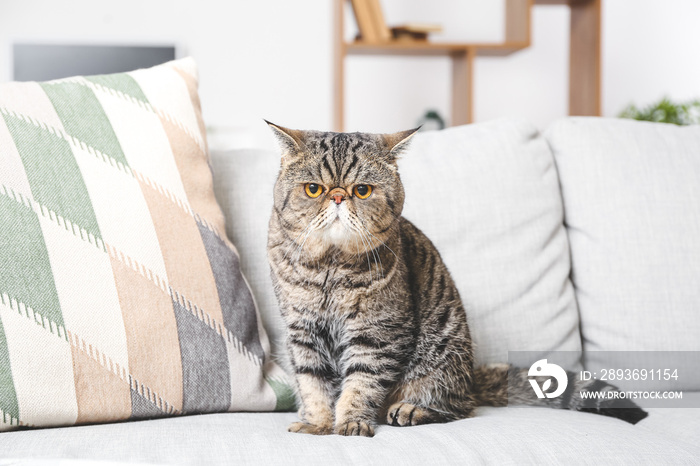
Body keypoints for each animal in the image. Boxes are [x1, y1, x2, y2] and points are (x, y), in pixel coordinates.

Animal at [266, 121, 648, 436]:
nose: (338, 196)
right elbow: (312, 383)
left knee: (459, 407)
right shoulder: (302, 331)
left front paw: (351, 422)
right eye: (313, 189)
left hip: (441, 356)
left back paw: (411, 410)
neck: (329, 268)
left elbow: (361, 385)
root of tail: (471, 377)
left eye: (362, 190)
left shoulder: (378, 334)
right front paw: (317, 423)